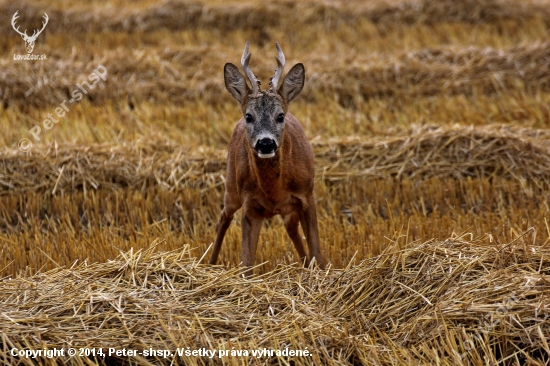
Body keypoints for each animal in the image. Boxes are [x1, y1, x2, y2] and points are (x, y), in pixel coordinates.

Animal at [209, 41, 326, 274]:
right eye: (249, 116)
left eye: (280, 116)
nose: (265, 143)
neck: (275, 190)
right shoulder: (249, 205)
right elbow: (246, 264)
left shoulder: (307, 195)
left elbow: (316, 252)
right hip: (231, 187)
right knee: (223, 219)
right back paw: (208, 263)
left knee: (291, 228)